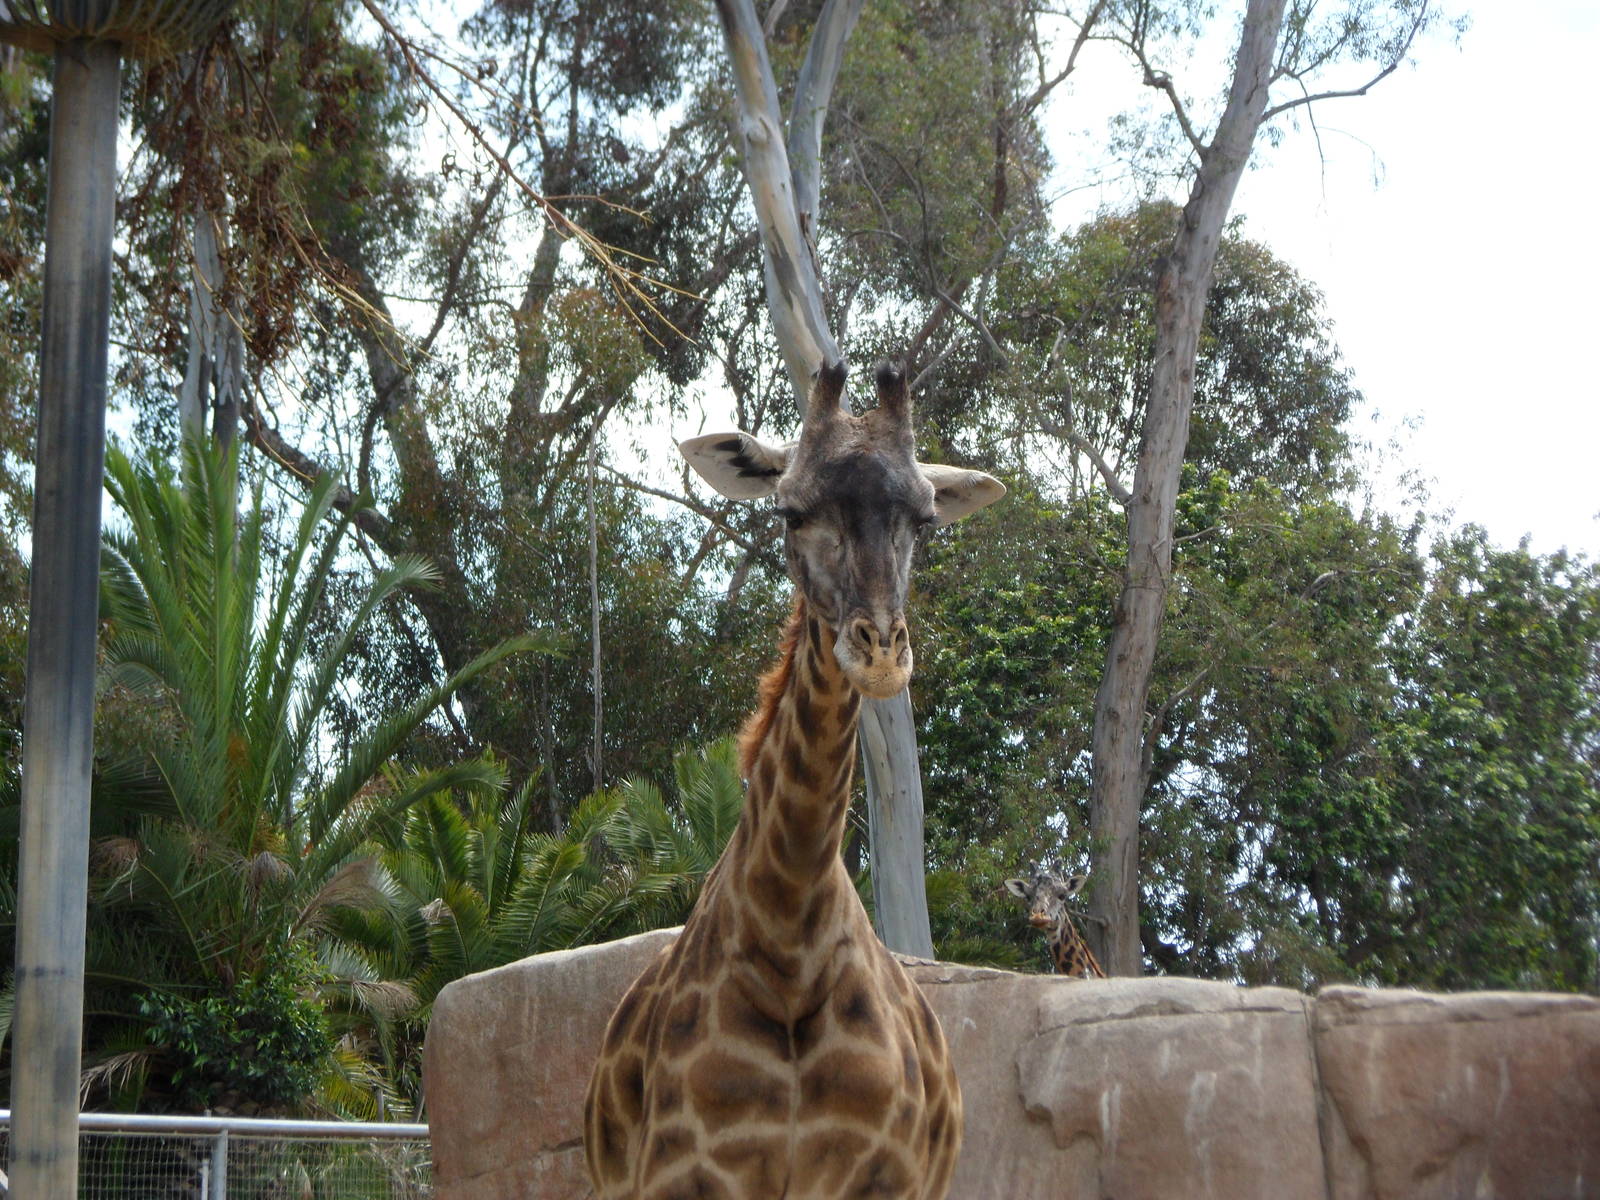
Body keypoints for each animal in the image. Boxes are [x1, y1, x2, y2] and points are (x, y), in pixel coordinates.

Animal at [583, 360, 1004, 1200]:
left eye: (925, 519)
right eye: (789, 511)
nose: (880, 654)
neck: (789, 939)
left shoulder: (874, 1178)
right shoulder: (684, 1175)